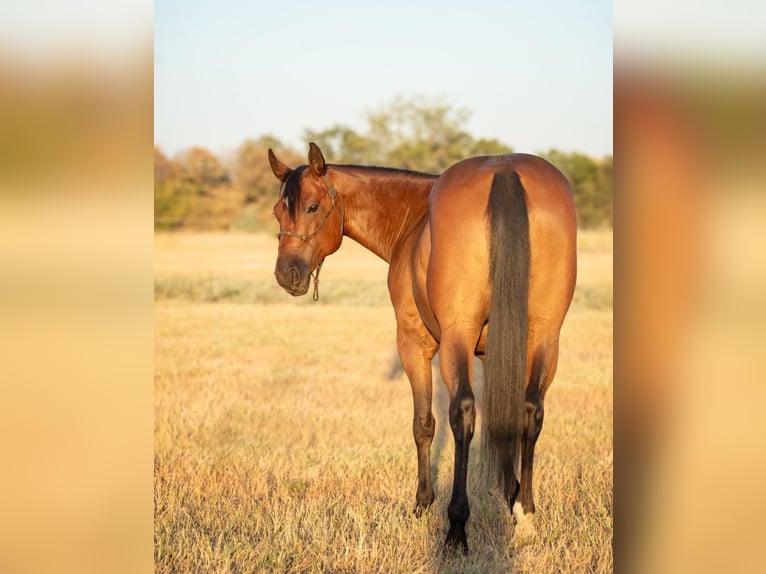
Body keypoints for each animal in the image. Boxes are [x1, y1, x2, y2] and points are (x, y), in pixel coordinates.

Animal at [269, 143, 577, 553]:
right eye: (278, 211)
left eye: (313, 207)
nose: (287, 274)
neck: (413, 221)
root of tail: (506, 171)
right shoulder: (497, 352)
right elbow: (505, 421)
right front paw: (510, 497)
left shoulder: (413, 344)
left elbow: (423, 424)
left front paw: (422, 503)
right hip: (546, 335)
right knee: (531, 411)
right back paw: (526, 515)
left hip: (457, 338)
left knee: (462, 413)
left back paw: (457, 526)